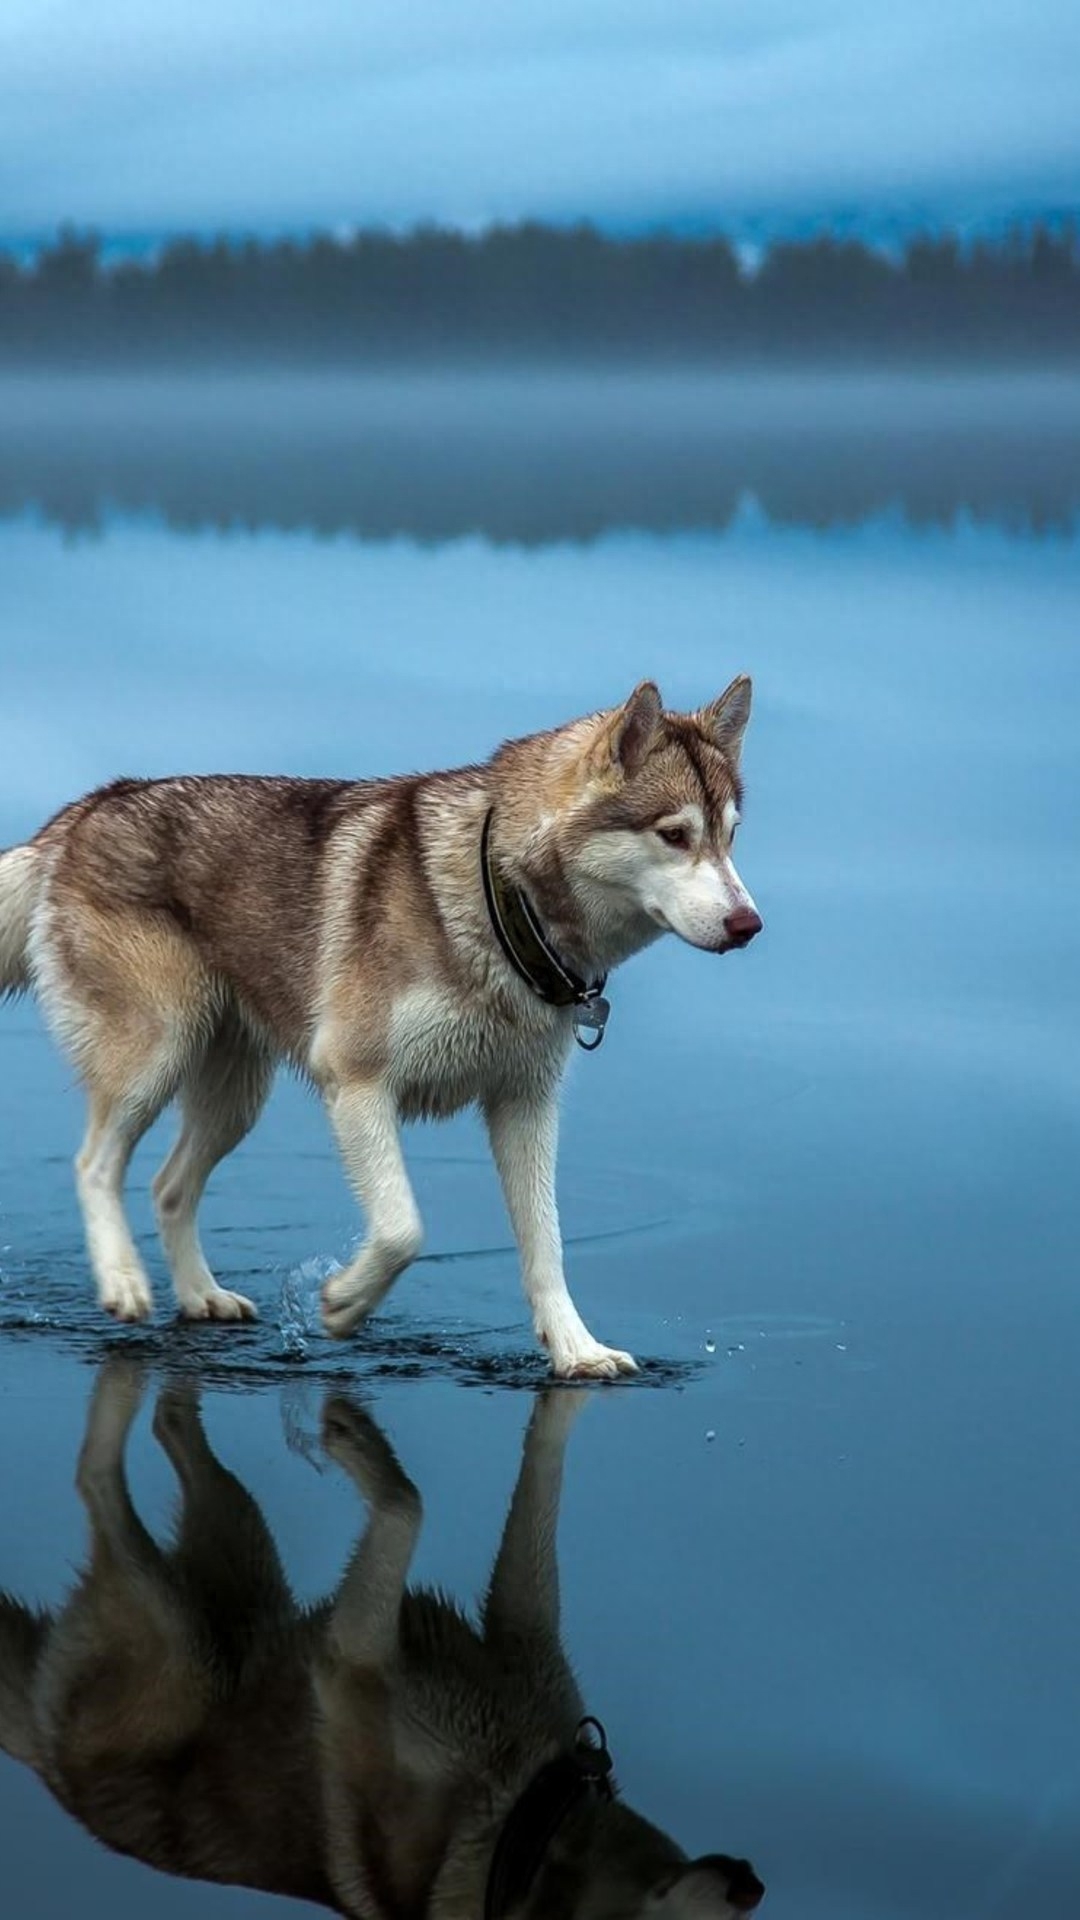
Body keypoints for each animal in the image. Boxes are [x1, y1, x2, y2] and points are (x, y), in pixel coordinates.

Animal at [0, 683, 757, 1374]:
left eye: (730, 836)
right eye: (674, 835)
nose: (749, 924)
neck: (500, 900)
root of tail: (87, 807)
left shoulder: (525, 1105)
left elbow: (546, 1246)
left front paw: (577, 1351)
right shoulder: (358, 1084)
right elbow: (402, 1229)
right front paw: (343, 1303)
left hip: (235, 1098)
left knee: (168, 1186)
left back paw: (200, 1295)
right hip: (154, 1055)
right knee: (95, 1164)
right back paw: (124, 1282)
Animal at [0, 1359, 760, 1912]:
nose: (753, 1886)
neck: (526, 1824)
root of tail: (44, 1766)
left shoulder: (518, 1629)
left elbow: (537, 1481)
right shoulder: (351, 1659)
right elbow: (407, 1503)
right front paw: (355, 1440)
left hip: (241, 1554)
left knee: (170, 1427)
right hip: (182, 1639)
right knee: (94, 1477)